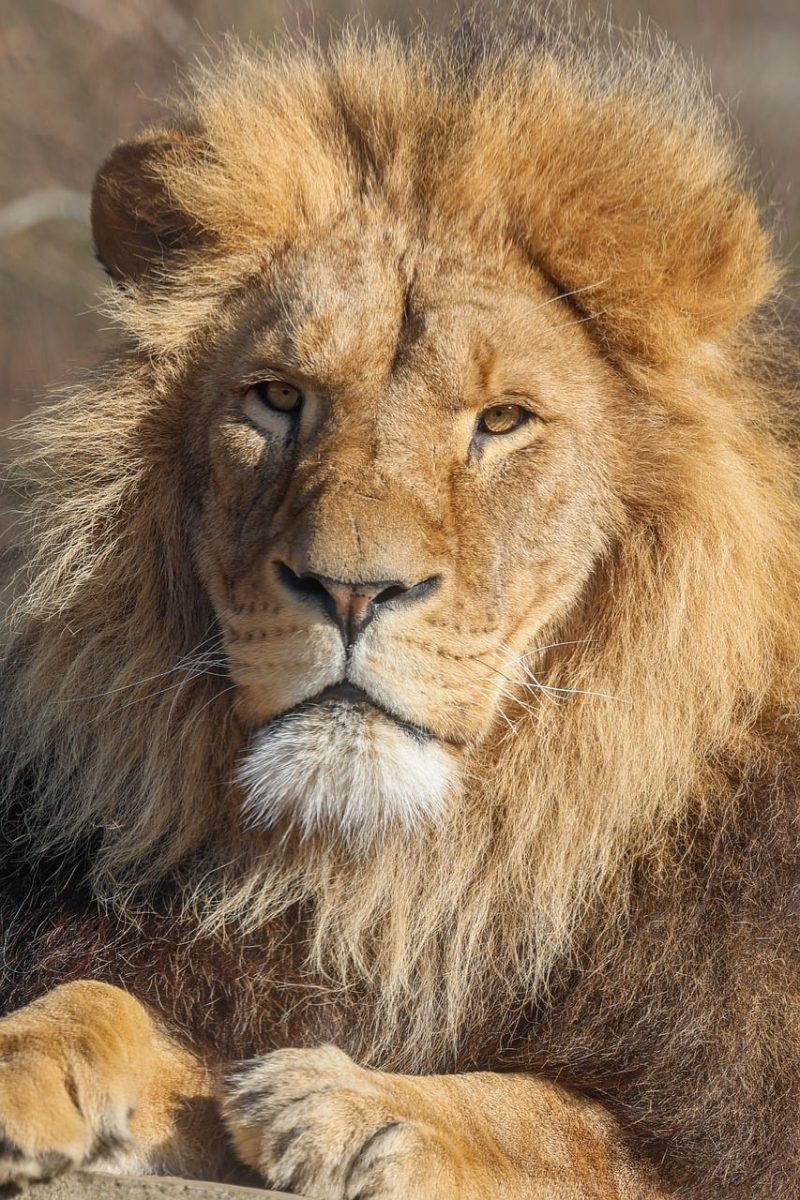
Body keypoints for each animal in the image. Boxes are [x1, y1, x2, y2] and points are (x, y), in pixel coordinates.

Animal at [0, 15, 798, 1200]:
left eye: (503, 421)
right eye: (277, 398)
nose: (351, 588)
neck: (417, 884)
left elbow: (573, 1129)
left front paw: (364, 1106)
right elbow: (128, 1018)